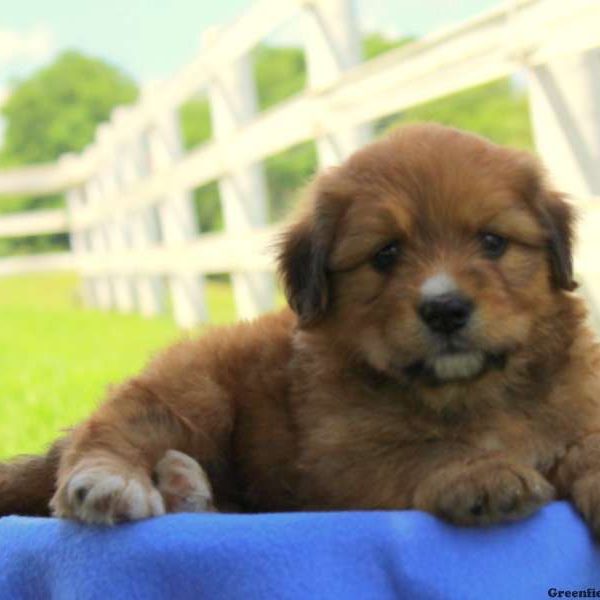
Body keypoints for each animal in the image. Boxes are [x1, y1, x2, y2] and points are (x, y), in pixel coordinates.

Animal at [1, 123, 600, 536]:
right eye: (386, 255)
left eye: (493, 242)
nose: (446, 309)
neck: (470, 392)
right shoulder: (341, 462)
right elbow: (425, 452)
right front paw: (482, 473)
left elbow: (585, 444)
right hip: (190, 395)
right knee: (110, 431)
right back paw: (110, 485)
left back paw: (185, 488)